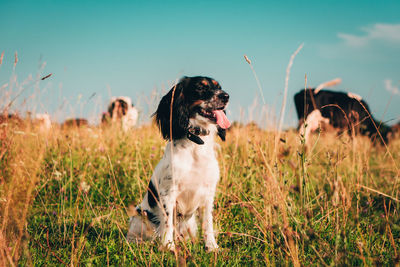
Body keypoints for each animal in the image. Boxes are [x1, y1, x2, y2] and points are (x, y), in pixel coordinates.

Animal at [126, 76, 230, 252]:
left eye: (219, 87)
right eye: (200, 88)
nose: (225, 96)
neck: (196, 144)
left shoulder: (208, 193)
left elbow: (208, 223)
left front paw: (212, 247)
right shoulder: (168, 193)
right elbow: (168, 223)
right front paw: (168, 246)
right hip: (139, 218)